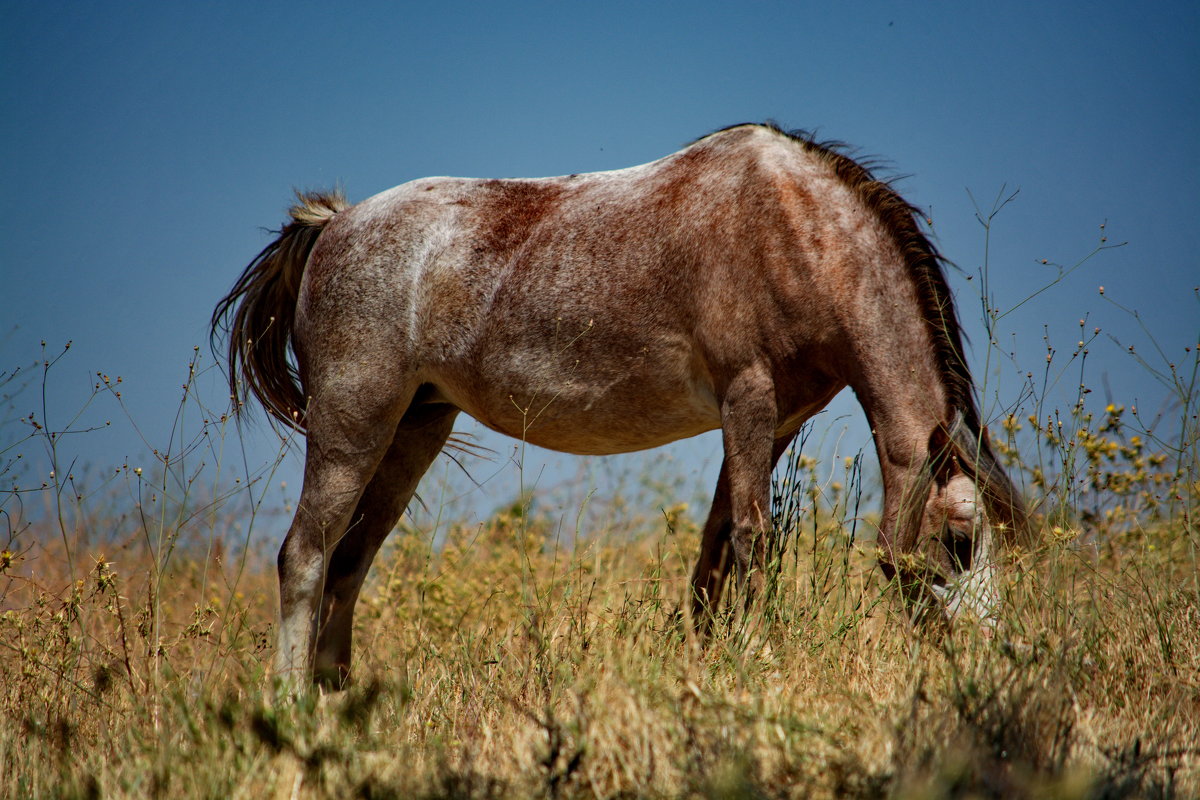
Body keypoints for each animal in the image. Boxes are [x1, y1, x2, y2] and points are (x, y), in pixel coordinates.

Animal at [211, 122, 1027, 686]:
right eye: (960, 541)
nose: (995, 657)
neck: (797, 230)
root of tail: (333, 227)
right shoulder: (747, 398)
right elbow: (753, 540)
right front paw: (757, 658)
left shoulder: (778, 419)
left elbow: (713, 553)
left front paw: (707, 665)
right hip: (352, 425)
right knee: (305, 556)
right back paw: (290, 705)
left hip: (415, 427)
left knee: (350, 561)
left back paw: (339, 702)